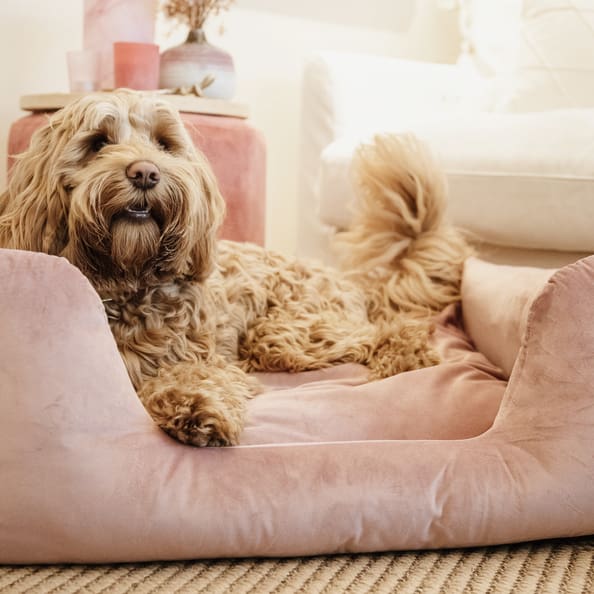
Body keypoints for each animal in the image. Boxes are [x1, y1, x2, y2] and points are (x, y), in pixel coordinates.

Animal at [1, 90, 468, 444]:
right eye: (98, 142)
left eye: (164, 144)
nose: (146, 173)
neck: (128, 275)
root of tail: (348, 279)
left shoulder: (201, 357)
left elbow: (196, 375)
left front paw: (196, 407)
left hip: (285, 331)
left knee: (386, 330)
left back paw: (407, 354)